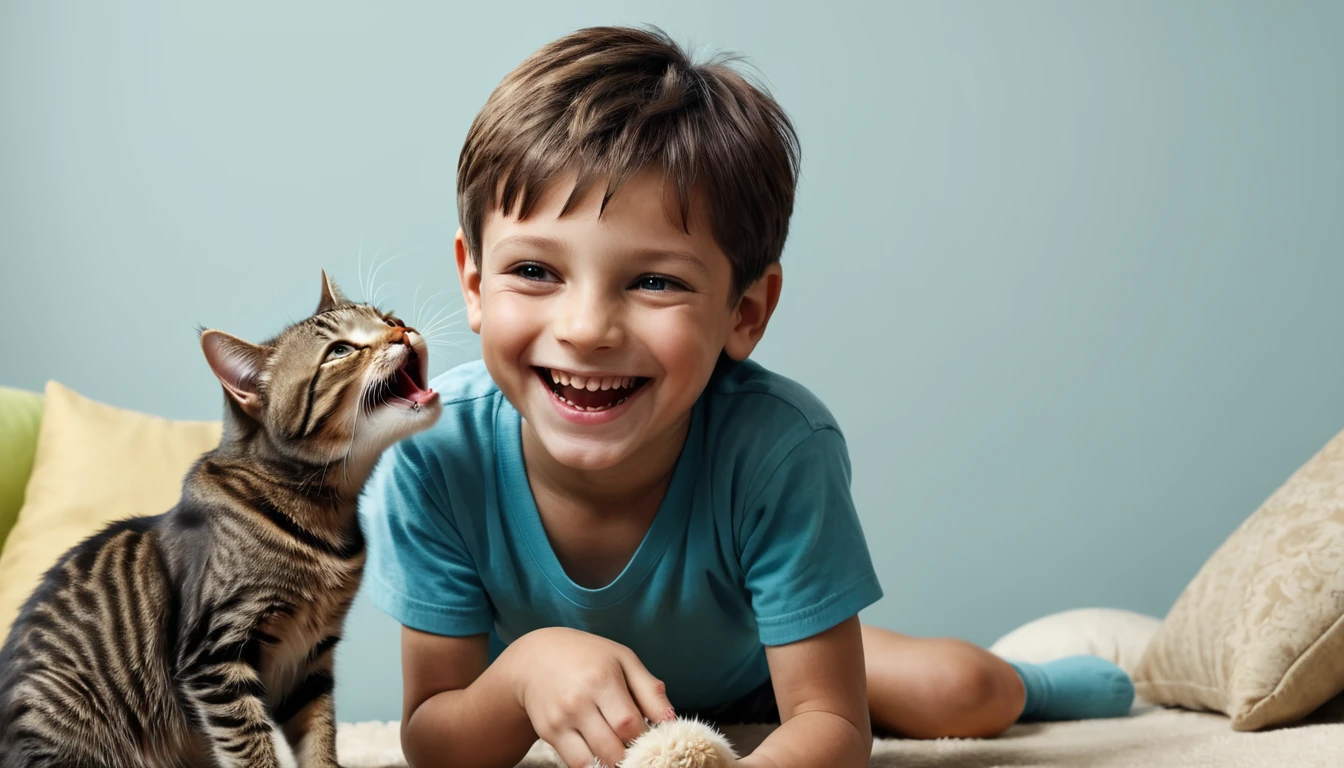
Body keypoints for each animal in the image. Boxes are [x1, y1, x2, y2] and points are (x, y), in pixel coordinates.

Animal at [0, 273, 443, 763]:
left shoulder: (309, 660)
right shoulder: (214, 656)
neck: (323, 516)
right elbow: (253, 749)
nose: (401, 331)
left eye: (387, 318)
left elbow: (320, 739)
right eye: (341, 350)